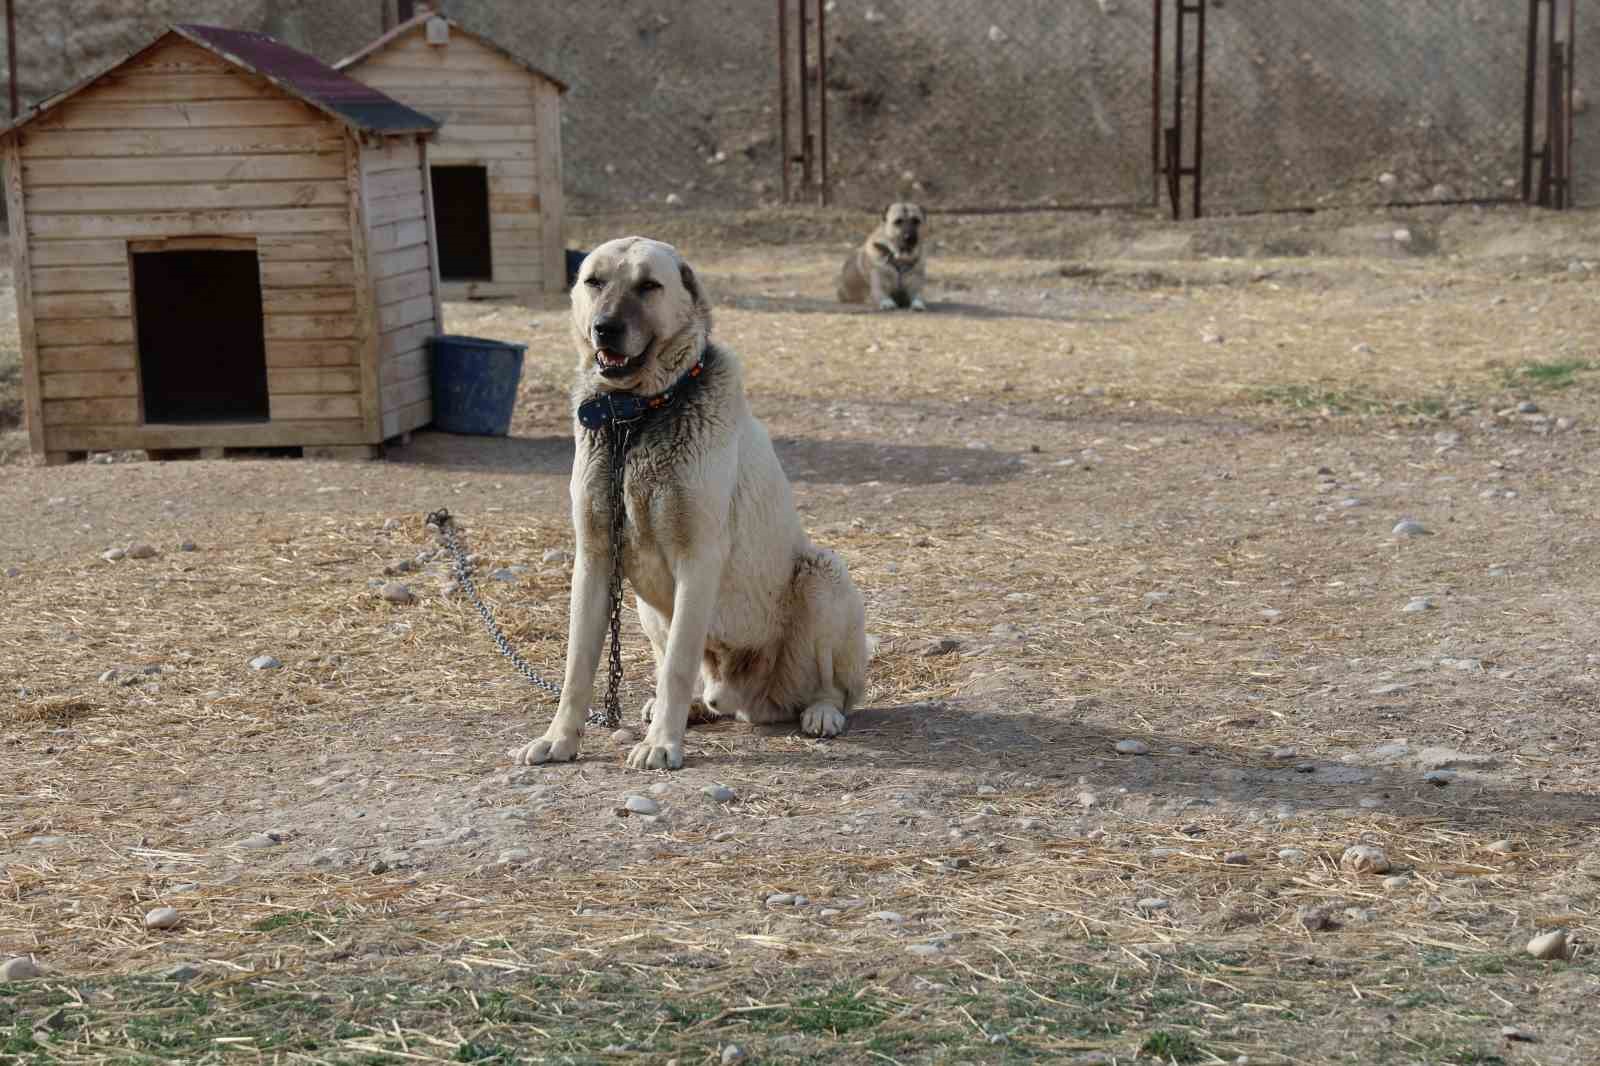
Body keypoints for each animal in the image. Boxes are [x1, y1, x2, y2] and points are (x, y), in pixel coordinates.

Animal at [512, 232, 870, 768]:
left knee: (835, 687)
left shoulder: (698, 560)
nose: (605, 329)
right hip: (646, 610)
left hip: (825, 573)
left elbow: (678, 665)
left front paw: (662, 744)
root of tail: (747, 701)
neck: (634, 417)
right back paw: (697, 706)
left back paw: (821, 712)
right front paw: (561, 738)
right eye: (594, 281)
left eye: (649, 286)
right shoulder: (595, 560)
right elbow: (578, 666)